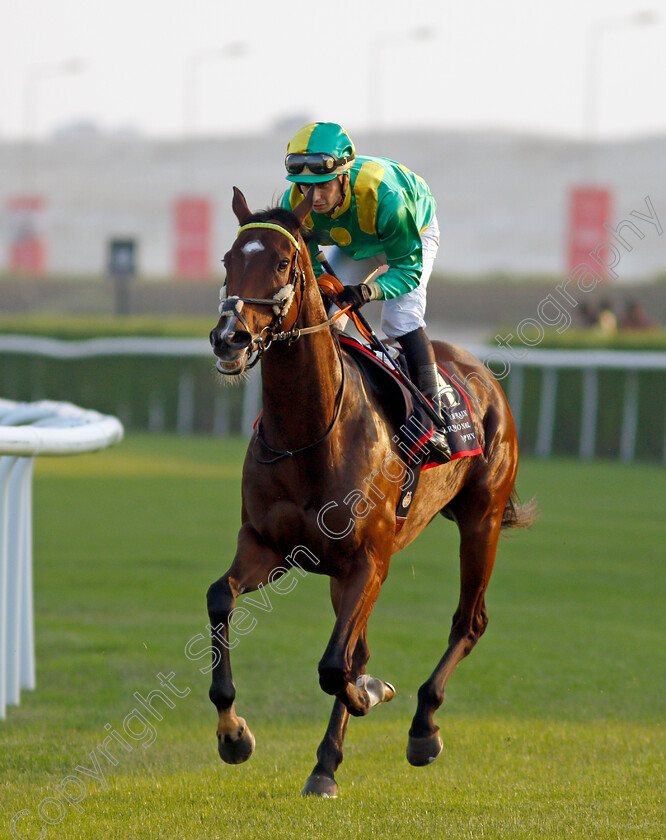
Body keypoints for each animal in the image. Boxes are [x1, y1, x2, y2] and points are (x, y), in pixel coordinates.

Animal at [205, 187, 532, 796]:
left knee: (467, 622)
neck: (309, 434)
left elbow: (337, 667)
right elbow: (221, 598)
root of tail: (480, 373)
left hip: (481, 520)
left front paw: (367, 697)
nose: (228, 337)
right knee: (361, 644)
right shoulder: (267, 545)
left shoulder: (368, 559)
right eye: (228, 260)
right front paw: (233, 733)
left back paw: (418, 729)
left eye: (282, 263)